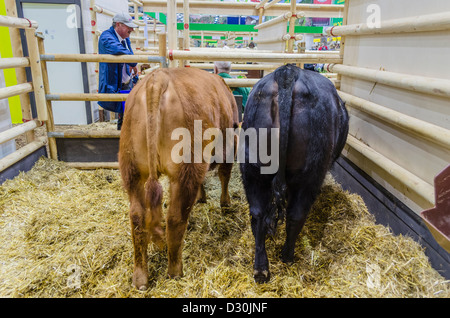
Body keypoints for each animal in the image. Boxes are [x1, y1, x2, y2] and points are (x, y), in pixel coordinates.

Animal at [118, 67, 239, 290]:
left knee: (137, 217)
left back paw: (140, 277)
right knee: (175, 218)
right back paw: (175, 271)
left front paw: (202, 197)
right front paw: (225, 202)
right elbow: (225, 174)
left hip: (132, 170)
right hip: (185, 170)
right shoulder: (228, 144)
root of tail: (158, 78)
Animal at [239, 63, 348, 282]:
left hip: (252, 168)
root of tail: (288, 72)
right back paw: (287, 256)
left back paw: (261, 268)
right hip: (311, 172)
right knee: (296, 214)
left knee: (258, 213)